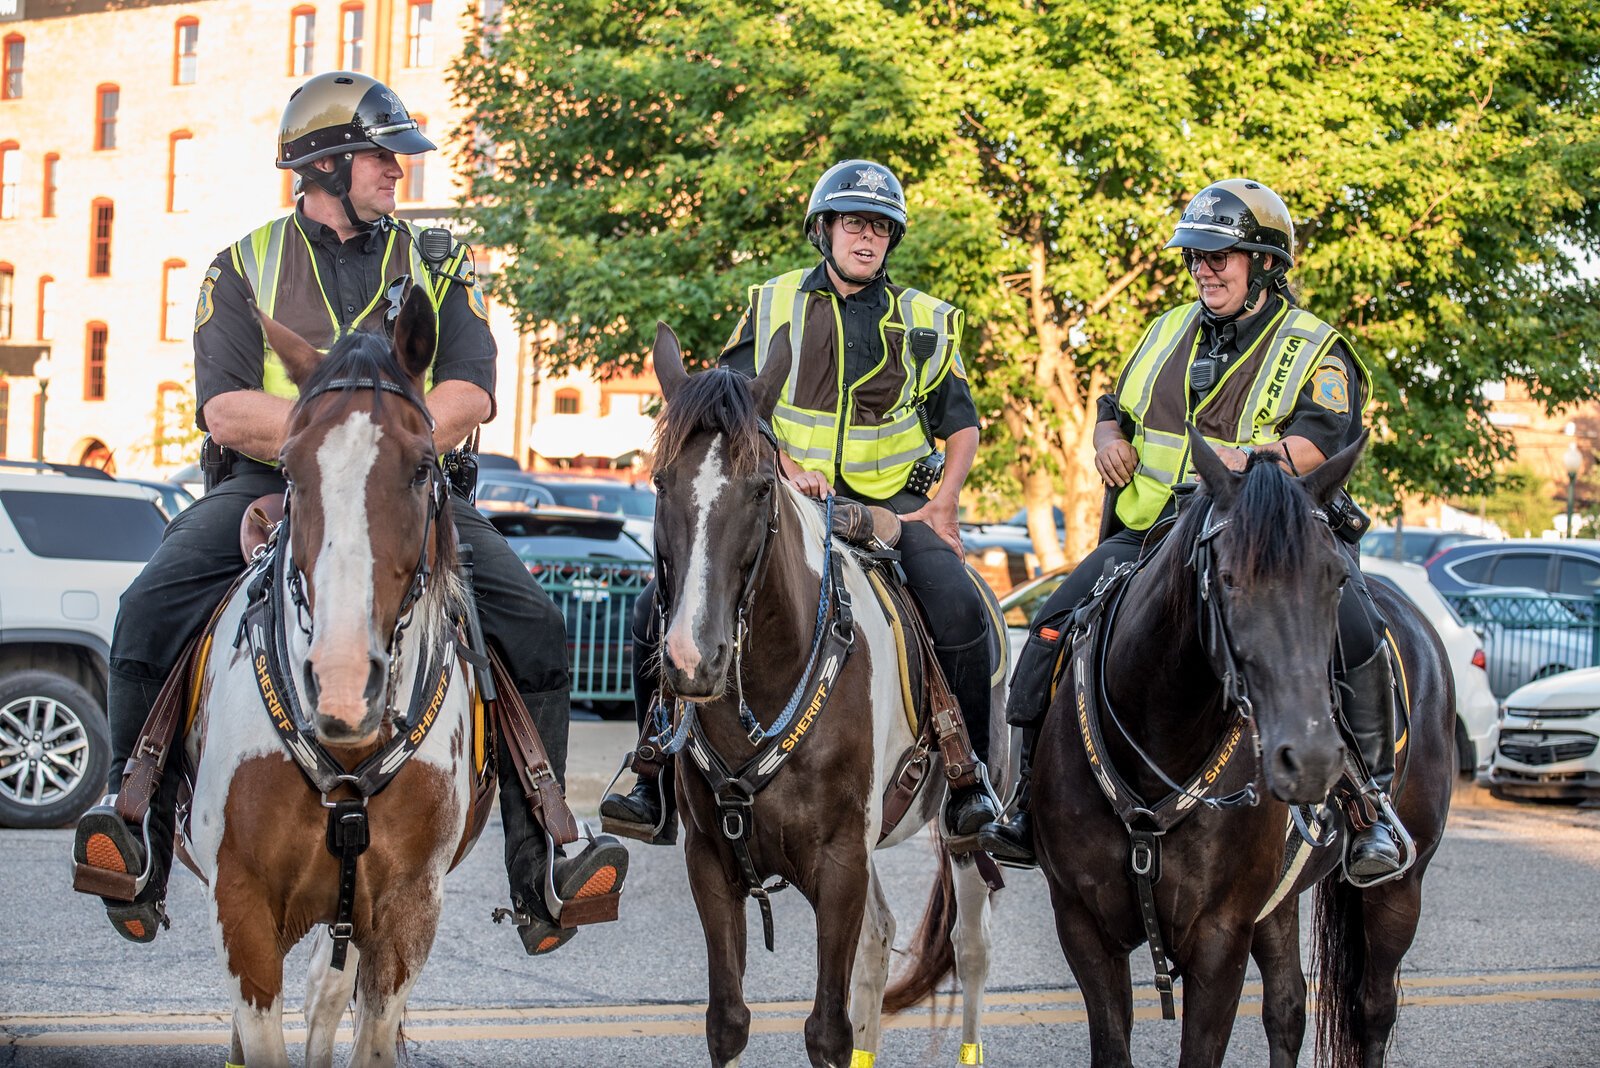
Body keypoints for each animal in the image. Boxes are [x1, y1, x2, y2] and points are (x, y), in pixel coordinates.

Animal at [646, 326, 998, 1068]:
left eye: (759, 488)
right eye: (661, 482)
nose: (693, 658)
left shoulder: (839, 862)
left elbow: (828, 1030)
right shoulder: (711, 863)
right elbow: (728, 1020)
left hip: (963, 836)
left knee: (971, 947)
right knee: (879, 942)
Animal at [1030, 431, 1459, 1068]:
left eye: (1333, 580)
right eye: (1228, 578)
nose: (1311, 758)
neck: (1158, 749)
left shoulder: (1219, 938)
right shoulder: (1084, 928)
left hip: (1400, 887)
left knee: (1373, 1009)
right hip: (1277, 902)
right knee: (1288, 1007)